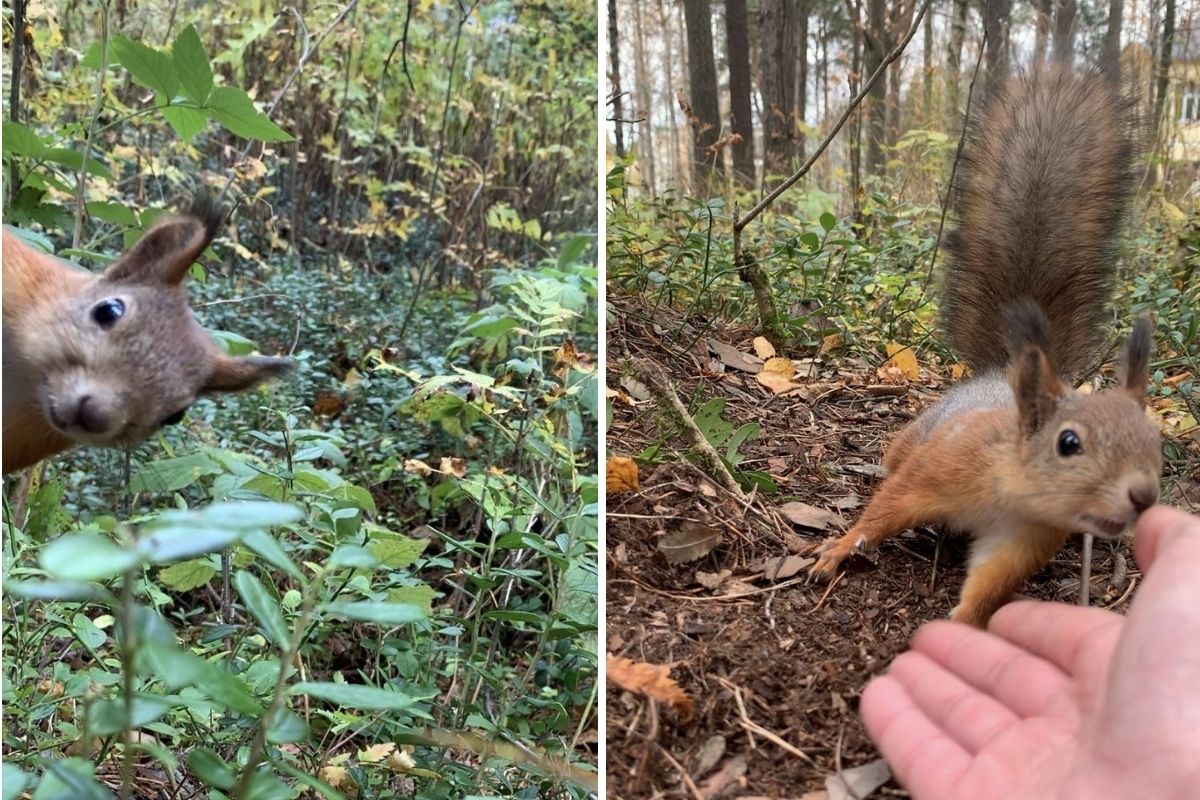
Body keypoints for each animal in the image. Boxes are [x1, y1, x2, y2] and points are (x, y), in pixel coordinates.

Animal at [808, 67, 1163, 628]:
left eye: (1157, 442)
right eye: (1068, 443)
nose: (1143, 496)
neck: (1013, 490)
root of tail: (1000, 373)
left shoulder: (1023, 539)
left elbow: (991, 583)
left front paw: (962, 625)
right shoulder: (938, 470)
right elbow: (884, 511)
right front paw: (840, 549)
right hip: (913, 441)